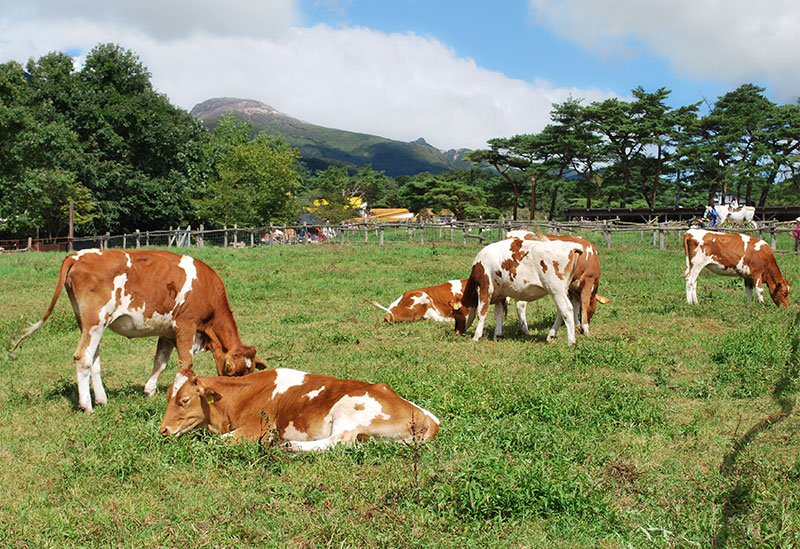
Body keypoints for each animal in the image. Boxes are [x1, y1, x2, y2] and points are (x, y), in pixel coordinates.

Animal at [10, 248, 266, 412]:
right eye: (236, 375)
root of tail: (78, 254)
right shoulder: (185, 325)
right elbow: (186, 363)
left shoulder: (166, 332)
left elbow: (160, 362)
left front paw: (150, 390)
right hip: (95, 320)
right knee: (82, 357)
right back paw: (87, 405)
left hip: (89, 324)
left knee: (94, 360)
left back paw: (101, 399)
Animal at [159, 366, 440, 452]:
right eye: (168, 396)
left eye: (185, 400)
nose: (162, 430)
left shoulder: (257, 428)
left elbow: (213, 442)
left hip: (348, 409)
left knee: (339, 441)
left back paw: (291, 446)